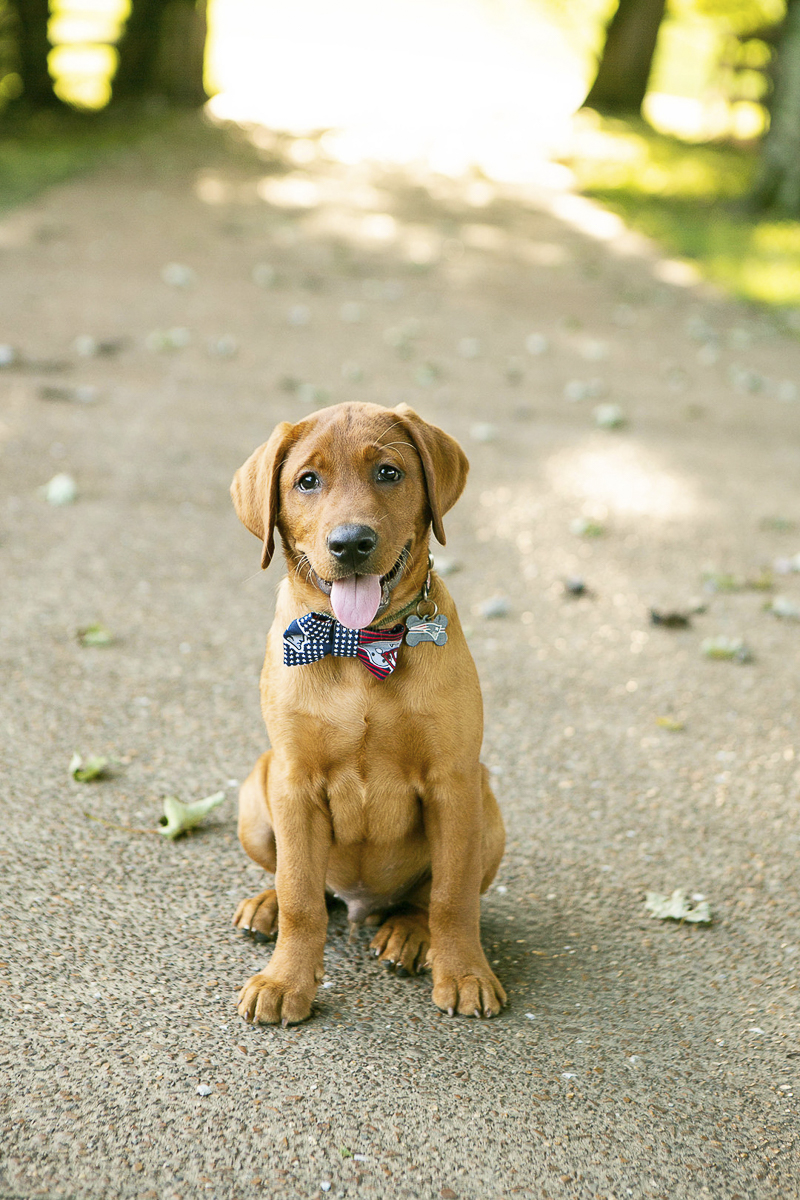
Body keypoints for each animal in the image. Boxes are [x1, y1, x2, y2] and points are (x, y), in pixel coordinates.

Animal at [231, 400, 506, 1022]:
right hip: (256, 795)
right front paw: (285, 981)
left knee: (422, 899)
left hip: (488, 809)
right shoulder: (294, 782)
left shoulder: (454, 781)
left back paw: (408, 934)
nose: (351, 543)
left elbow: (452, 896)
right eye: (307, 481)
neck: (359, 645)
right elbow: (301, 895)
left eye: (388, 472)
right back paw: (264, 906)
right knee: (301, 885)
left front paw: (466, 973)